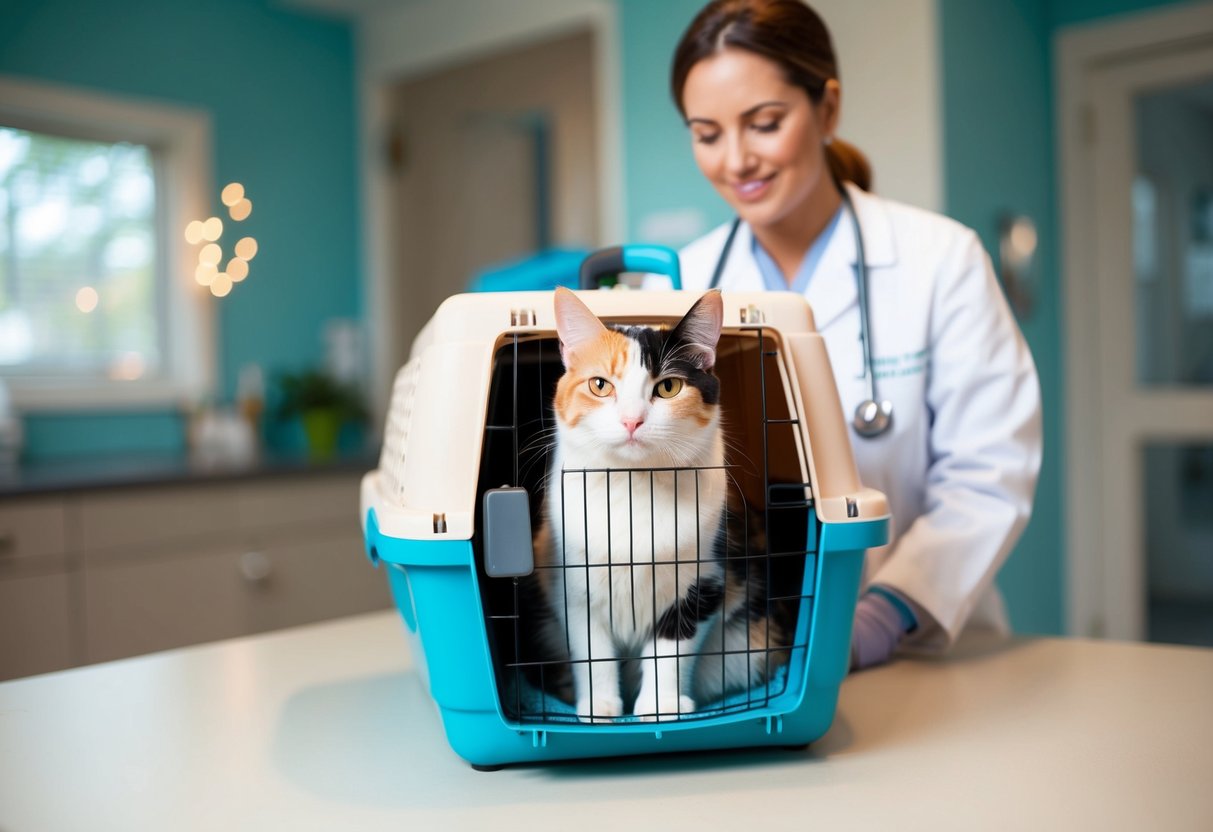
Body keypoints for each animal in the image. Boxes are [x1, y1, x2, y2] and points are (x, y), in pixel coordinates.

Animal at [536, 288, 790, 722]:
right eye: (600, 385)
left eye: (669, 387)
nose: (632, 421)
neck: (635, 487)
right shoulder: (572, 584)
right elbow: (592, 652)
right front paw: (601, 708)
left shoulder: (703, 581)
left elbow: (670, 650)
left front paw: (661, 706)